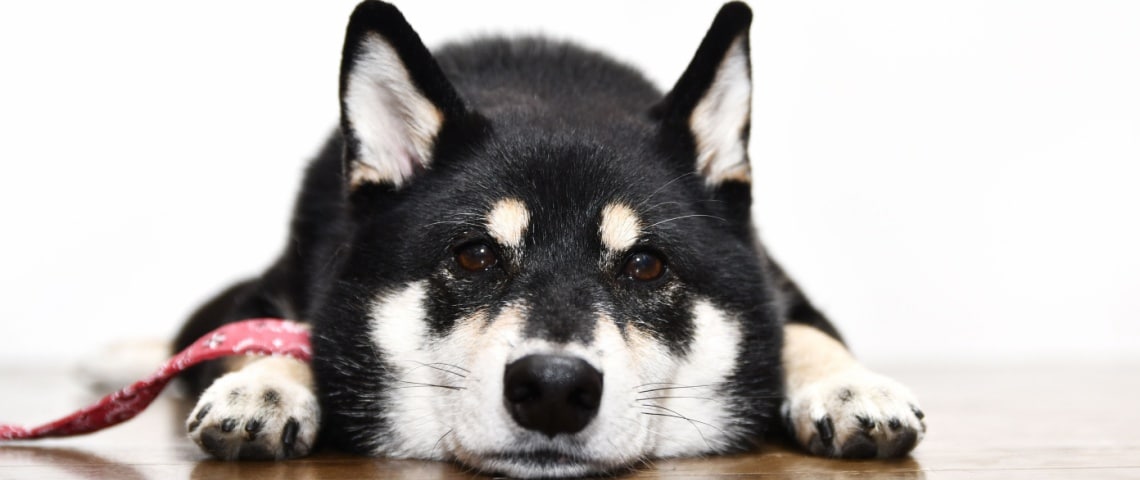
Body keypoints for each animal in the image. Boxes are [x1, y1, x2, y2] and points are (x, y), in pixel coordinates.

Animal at [173, 2, 930, 474]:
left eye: (646, 265)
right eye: (475, 255)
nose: (554, 389)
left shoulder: (775, 285)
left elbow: (803, 333)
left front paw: (850, 387)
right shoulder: (267, 295)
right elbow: (269, 336)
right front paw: (265, 386)